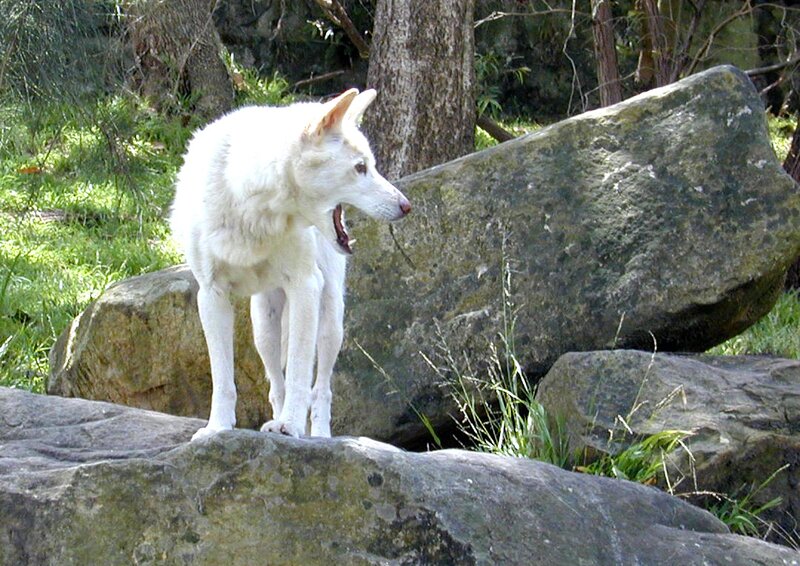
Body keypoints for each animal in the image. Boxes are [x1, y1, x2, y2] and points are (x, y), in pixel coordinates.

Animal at [170, 89, 411, 441]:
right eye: (360, 167)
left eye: (372, 166)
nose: (407, 206)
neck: (249, 205)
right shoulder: (211, 295)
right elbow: (223, 378)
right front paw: (217, 429)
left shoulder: (305, 286)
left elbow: (299, 372)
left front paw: (292, 426)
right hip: (263, 328)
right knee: (275, 385)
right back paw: (274, 421)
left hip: (330, 321)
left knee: (321, 388)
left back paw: (318, 435)